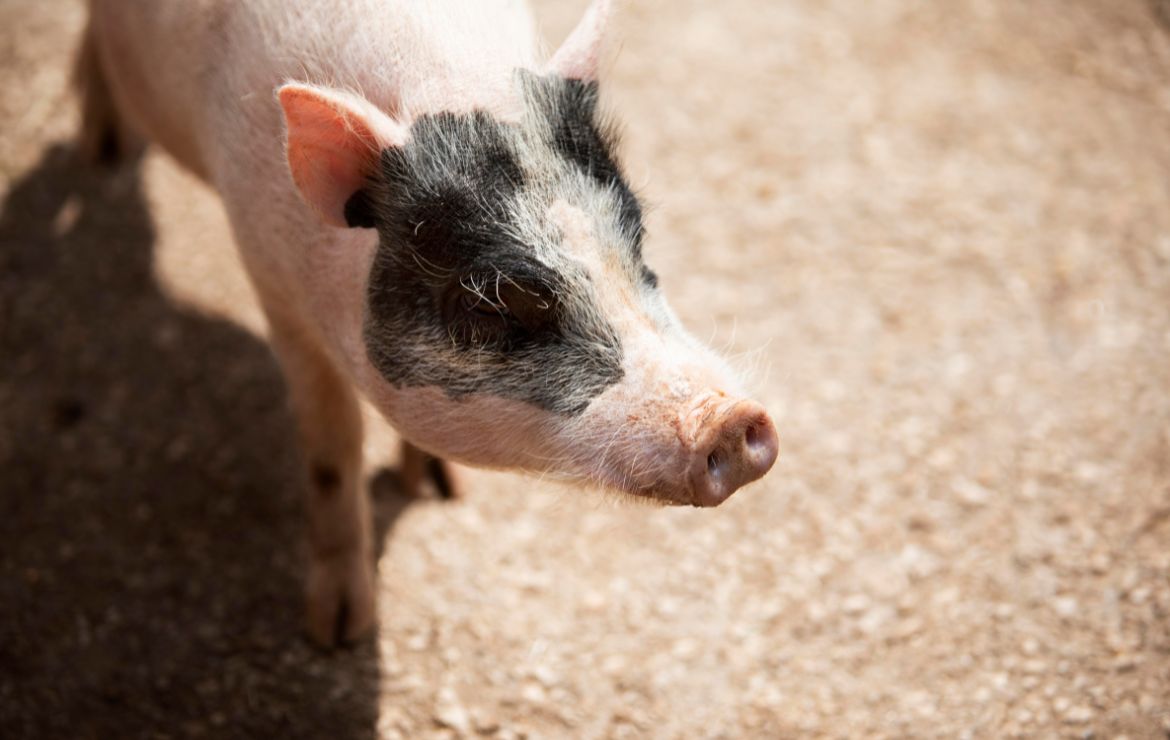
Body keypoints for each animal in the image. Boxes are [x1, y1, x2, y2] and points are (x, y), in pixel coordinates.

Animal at [78, 0, 780, 645]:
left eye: (635, 242)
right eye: (491, 303)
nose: (731, 418)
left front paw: (439, 490)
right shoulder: (270, 281)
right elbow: (330, 447)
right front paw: (340, 632)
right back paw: (102, 151)